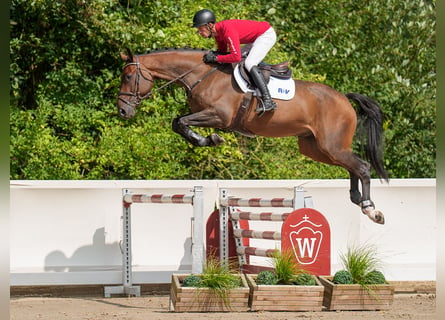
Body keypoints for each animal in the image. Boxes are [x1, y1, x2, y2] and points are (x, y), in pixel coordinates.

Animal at [116, 47, 386, 224]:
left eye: (128, 77)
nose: (122, 111)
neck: (202, 74)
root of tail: (344, 99)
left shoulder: (219, 116)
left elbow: (181, 122)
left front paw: (212, 139)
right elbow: (177, 123)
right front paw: (208, 140)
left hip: (331, 146)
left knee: (362, 166)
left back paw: (371, 210)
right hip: (317, 148)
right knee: (352, 166)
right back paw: (358, 201)